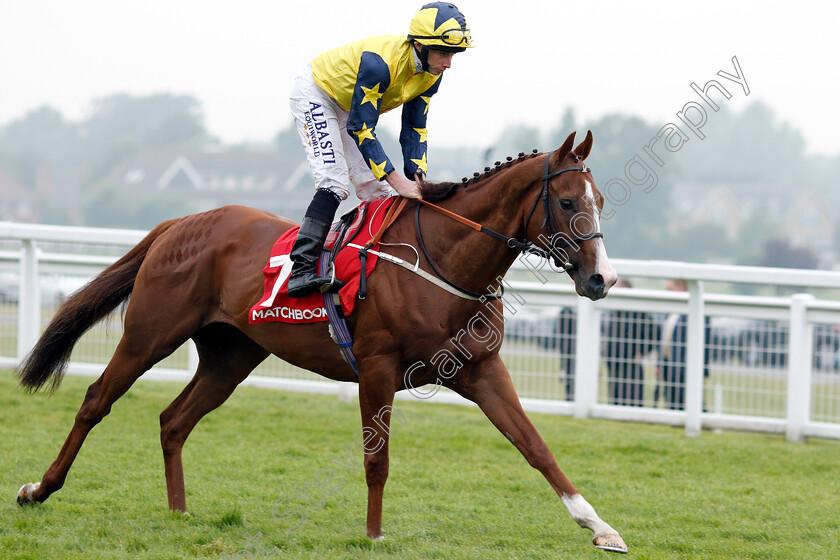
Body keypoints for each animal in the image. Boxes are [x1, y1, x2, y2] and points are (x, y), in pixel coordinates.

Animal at [14, 131, 632, 552]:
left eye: (600, 200)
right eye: (569, 203)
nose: (602, 279)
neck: (444, 261)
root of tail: (182, 222)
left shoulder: (482, 370)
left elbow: (536, 447)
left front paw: (600, 527)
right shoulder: (378, 368)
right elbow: (377, 459)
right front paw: (375, 536)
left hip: (230, 355)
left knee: (174, 420)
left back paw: (179, 513)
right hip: (151, 333)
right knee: (96, 400)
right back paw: (40, 489)